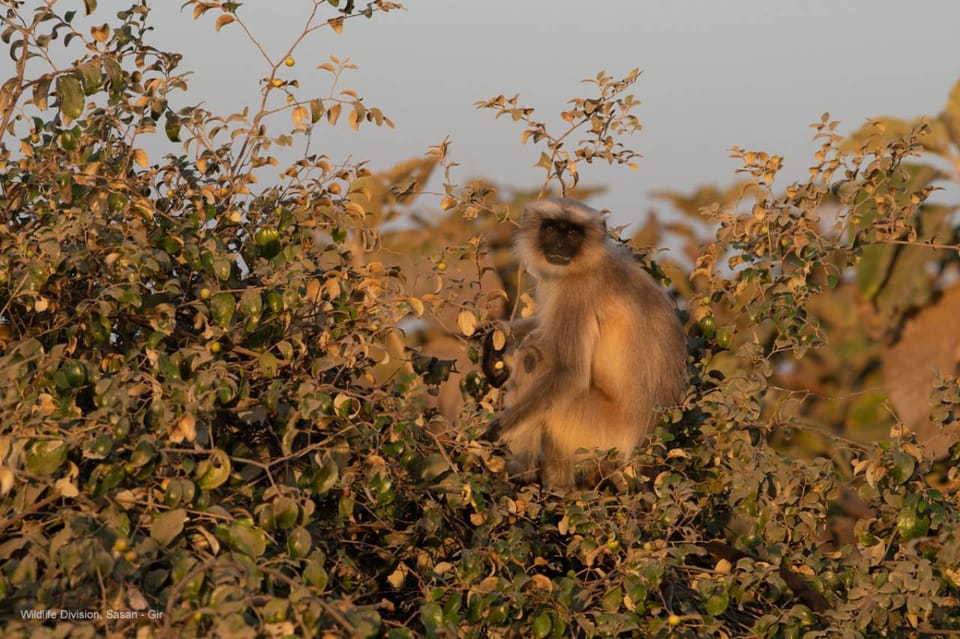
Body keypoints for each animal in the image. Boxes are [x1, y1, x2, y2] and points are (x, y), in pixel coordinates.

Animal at [484, 200, 688, 490]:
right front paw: (496, 337)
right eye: (549, 228)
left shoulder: (577, 291)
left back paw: (523, 476)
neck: (589, 262)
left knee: (536, 352)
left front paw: (496, 430)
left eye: (571, 233)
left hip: (597, 432)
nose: (559, 246)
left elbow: (570, 373)